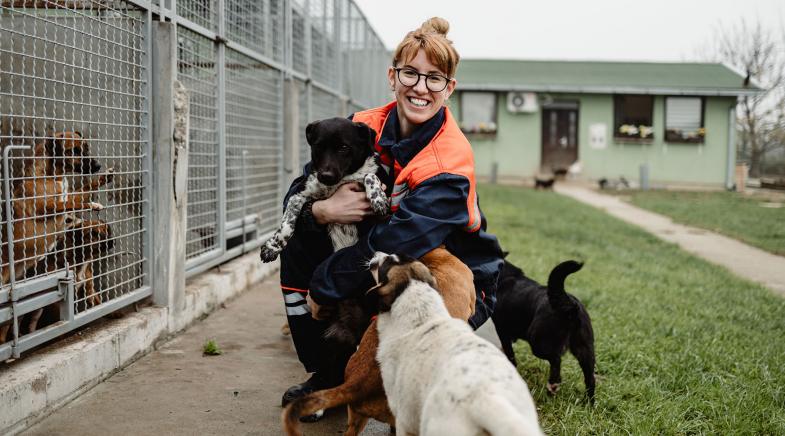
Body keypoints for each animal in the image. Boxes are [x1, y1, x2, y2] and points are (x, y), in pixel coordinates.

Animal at [490, 258, 596, 404]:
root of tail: (569, 303)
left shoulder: (503, 332)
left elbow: (510, 355)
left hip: (539, 343)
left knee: (556, 360)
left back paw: (553, 385)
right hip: (585, 349)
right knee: (590, 378)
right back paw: (588, 404)